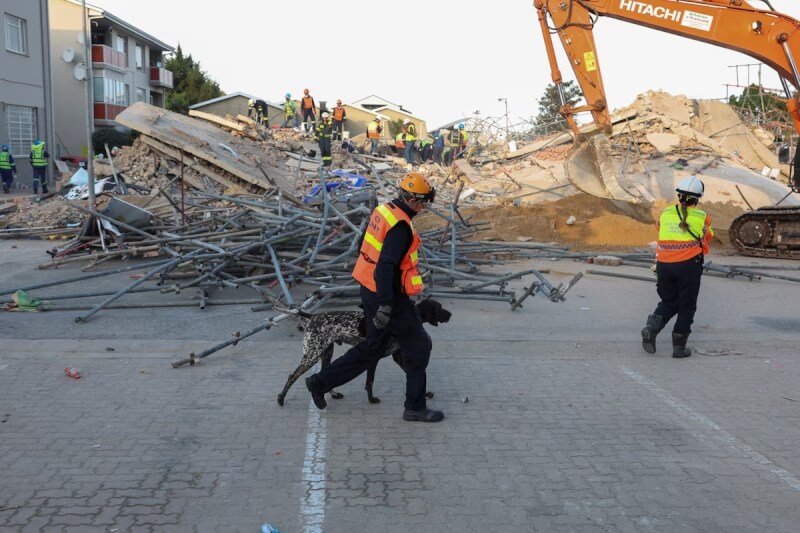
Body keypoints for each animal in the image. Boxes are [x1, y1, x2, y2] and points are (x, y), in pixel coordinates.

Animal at [276, 300, 450, 404]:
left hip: (325, 353)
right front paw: (372, 400)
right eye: (440, 308)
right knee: (292, 376)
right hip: (312, 354)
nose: (451, 314)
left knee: (323, 373)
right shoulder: (373, 358)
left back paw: (332, 394)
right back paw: (281, 398)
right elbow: (370, 382)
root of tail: (312, 316)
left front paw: (424, 394)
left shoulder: (398, 357)